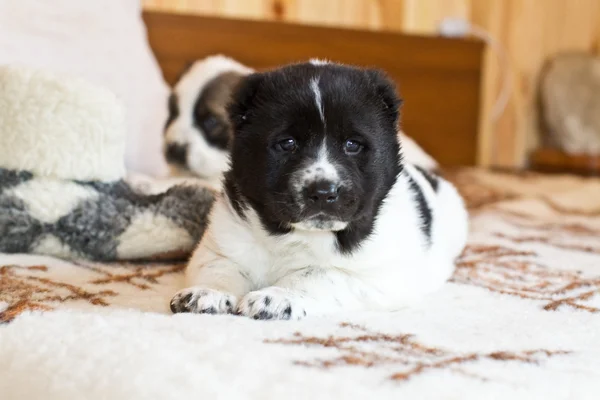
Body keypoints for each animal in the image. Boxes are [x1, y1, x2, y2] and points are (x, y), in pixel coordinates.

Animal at [170, 60, 468, 318]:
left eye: (352, 144)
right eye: (288, 143)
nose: (324, 192)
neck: (292, 235)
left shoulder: (379, 277)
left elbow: (318, 274)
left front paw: (277, 296)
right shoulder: (220, 242)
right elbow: (220, 267)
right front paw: (207, 292)